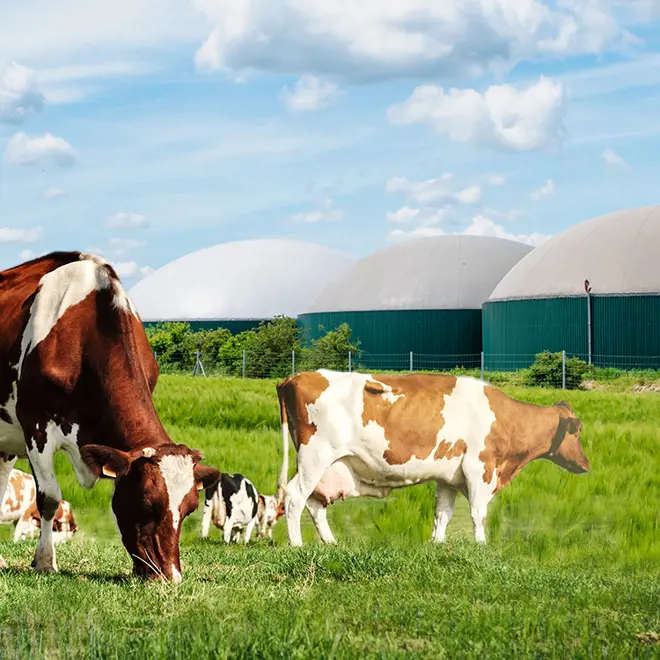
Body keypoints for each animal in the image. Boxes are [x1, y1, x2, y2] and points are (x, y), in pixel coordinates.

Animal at [0, 252, 221, 581]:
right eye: (146, 503)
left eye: (190, 508)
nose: (170, 577)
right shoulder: (36, 426)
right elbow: (49, 498)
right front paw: (45, 562)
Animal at [275, 370, 590, 546]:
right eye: (577, 430)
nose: (586, 464)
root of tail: (295, 377)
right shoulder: (479, 469)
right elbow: (478, 513)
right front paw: (482, 548)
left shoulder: (448, 478)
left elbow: (443, 515)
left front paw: (436, 545)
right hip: (314, 457)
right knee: (295, 498)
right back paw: (297, 545)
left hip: (327, 466)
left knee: (315, 504)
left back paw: (331, 543)